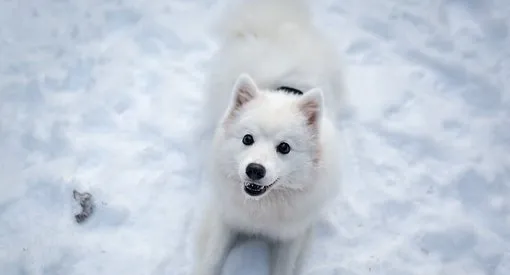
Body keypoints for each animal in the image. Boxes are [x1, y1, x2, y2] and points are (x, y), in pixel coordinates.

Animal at [192, 0, 346, 275]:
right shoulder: (225, 218)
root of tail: (281, 21)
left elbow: (285, 267)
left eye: (284, 147)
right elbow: (211, 259)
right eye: (247, 139)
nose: (254, 170)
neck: (262, 208)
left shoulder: (292, 235)